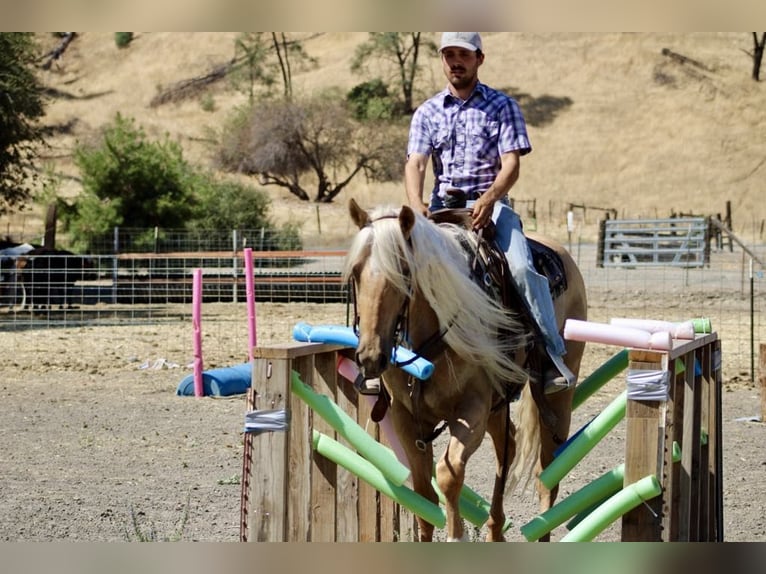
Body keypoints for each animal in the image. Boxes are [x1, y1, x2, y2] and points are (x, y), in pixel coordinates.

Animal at [344, 200, 592, 544]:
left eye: (404, 272)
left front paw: (456, 536)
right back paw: (495, 531)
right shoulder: (405, 417)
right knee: (508, 446)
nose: (370, 356)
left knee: (548, 471)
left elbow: (448, 474)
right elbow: (423, 492)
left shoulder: (471, 409)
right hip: (498, 405)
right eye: (356, 272)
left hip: (556, 399)